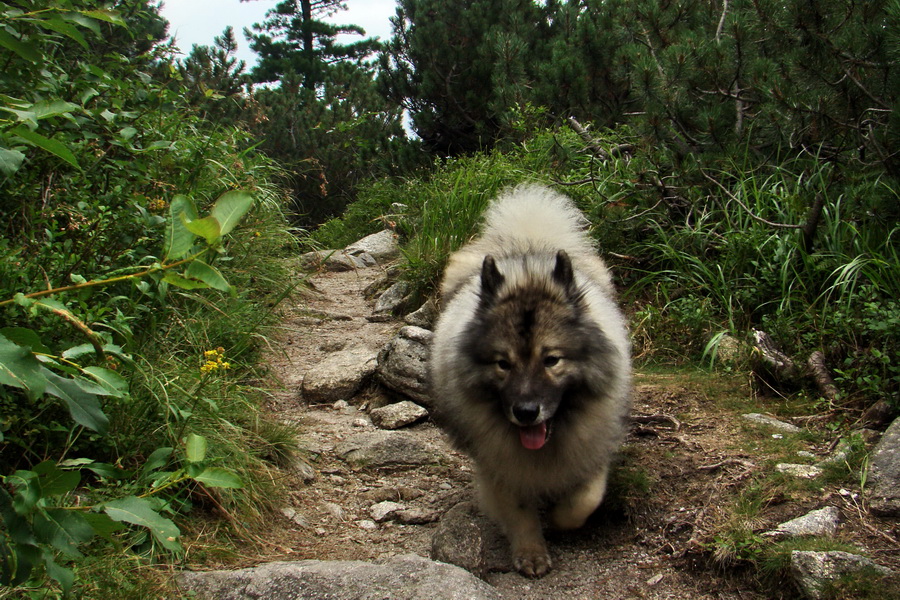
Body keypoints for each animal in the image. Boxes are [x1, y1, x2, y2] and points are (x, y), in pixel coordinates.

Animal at [430, 184, 632, 576]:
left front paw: (558, 519)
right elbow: (519, 512)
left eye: (551, 360)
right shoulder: (500, 465)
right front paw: (531, 552)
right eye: (503, 364)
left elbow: (584, 500)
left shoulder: (592, 446)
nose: (525, 412)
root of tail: (527, 241)